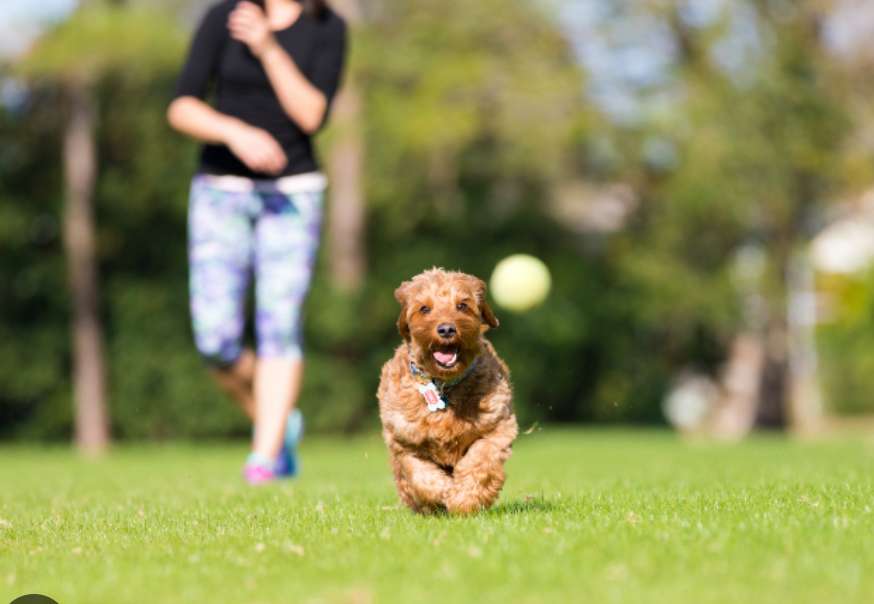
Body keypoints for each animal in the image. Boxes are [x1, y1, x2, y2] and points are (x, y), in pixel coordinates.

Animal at [376, 268, 516, 516]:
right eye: (424, 308)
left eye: (462, 305)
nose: (447, 329)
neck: (442, 384)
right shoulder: (404, 441)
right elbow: (421, 477)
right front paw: (444, 492)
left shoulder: (498, 427)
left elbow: (480, 462)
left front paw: (464, 499)